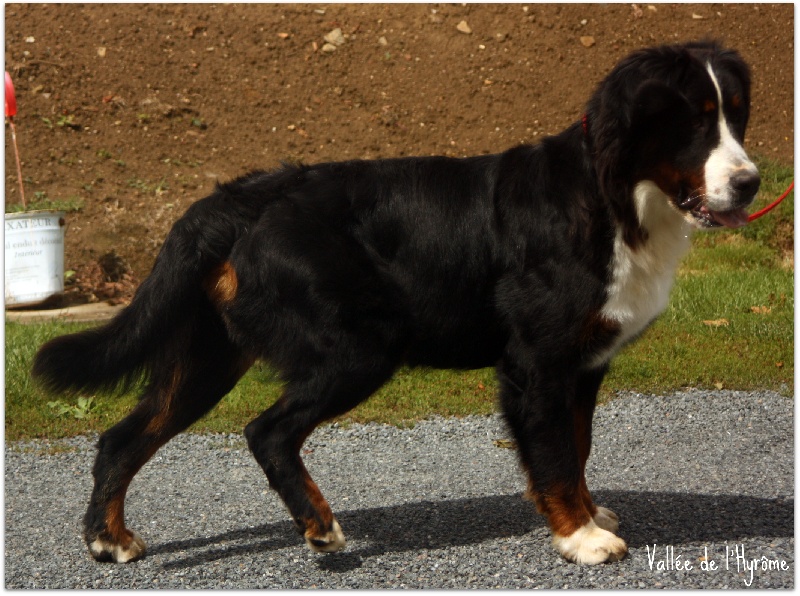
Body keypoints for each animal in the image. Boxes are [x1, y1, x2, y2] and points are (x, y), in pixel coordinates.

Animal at [33, 41, 760, 565]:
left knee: (123, 439)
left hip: (211, 357)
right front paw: (579, 538)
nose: (751, 182)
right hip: (360, 347)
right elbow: (554, 455)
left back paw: (108, 540)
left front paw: (584, 514)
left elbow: (574, 449)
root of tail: (245, 195)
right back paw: (320, 527)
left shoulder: (583, 365)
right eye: (694, 120)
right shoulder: (539, 362)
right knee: (267, 432)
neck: (615, 201)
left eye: (734, 114)